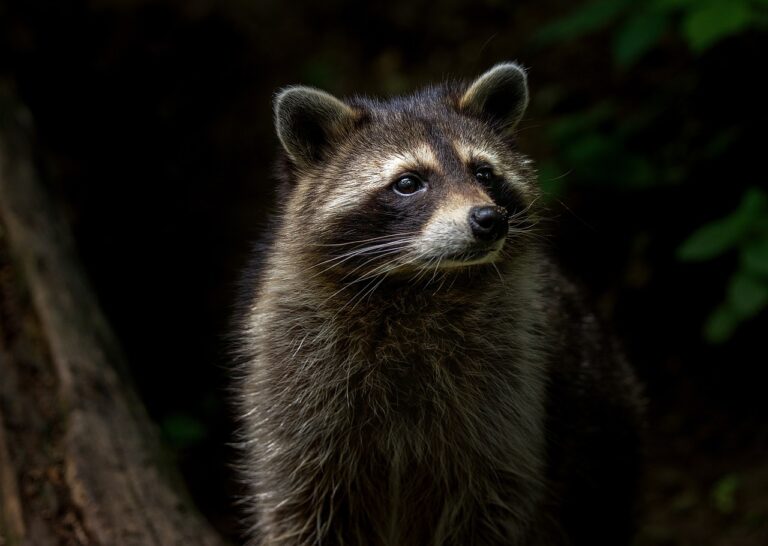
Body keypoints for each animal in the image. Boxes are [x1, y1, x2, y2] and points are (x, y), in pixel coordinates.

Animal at [236, 63, 644, 546]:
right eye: (408, 183)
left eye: (484, 173)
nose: (489, 220)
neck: (419, 284)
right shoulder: (294, 382)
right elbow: (301, 504)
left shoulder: (510, 386)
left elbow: (491, 501)